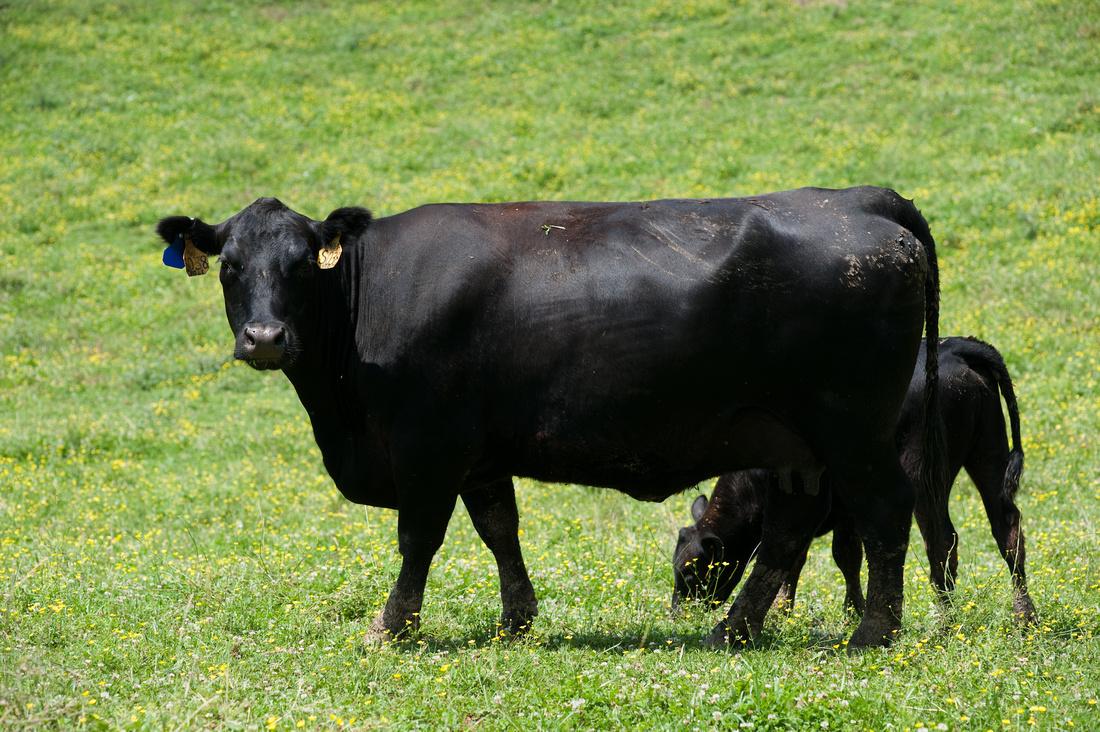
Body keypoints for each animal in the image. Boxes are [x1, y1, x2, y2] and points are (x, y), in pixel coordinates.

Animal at [157, 186, 946, 647]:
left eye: (300, 264)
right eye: (230, 265)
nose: (264, 337)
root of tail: (859, 199)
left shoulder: (428, 446)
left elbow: (419, 539)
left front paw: (392, 626)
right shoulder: (478, 453)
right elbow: (498, 529)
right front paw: (517, 620)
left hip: (853, 427)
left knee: (885, 510)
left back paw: (873, 632)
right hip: (792, 441)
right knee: (787, 531)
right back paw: (735, 630)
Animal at [673, 334, 1034, 620]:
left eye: (691, 574)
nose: (678, 613)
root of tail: (955, 348)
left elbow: (805, 556)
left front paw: (784, 610)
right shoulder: (842, 508)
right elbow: (843, 555)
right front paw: (848, 609)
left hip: (924, 471)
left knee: (943, 539)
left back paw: (944, 617)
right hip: (989, 450)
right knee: (1007, 529)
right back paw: (1024, 615)